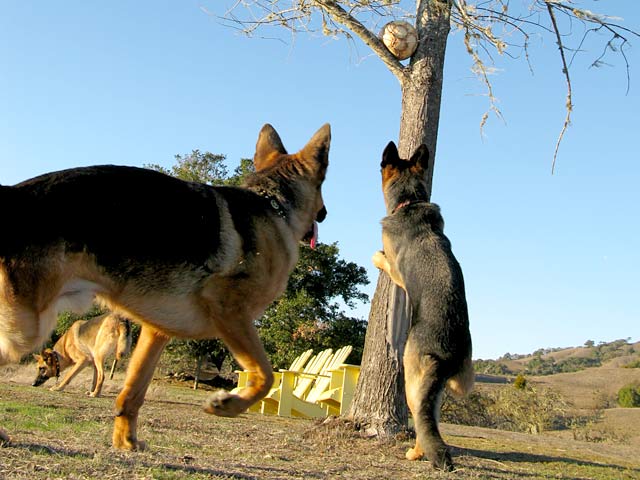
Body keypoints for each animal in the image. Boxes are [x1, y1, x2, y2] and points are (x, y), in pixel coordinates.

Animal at [372, 141, 472, 470]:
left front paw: (376, 257)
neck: (409, 203)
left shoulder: (397, 273)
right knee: (435, 413)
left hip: (411, 373)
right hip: (457, 380)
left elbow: (383, 259)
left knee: (420, 417)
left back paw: (416, 452)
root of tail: (446, 351)